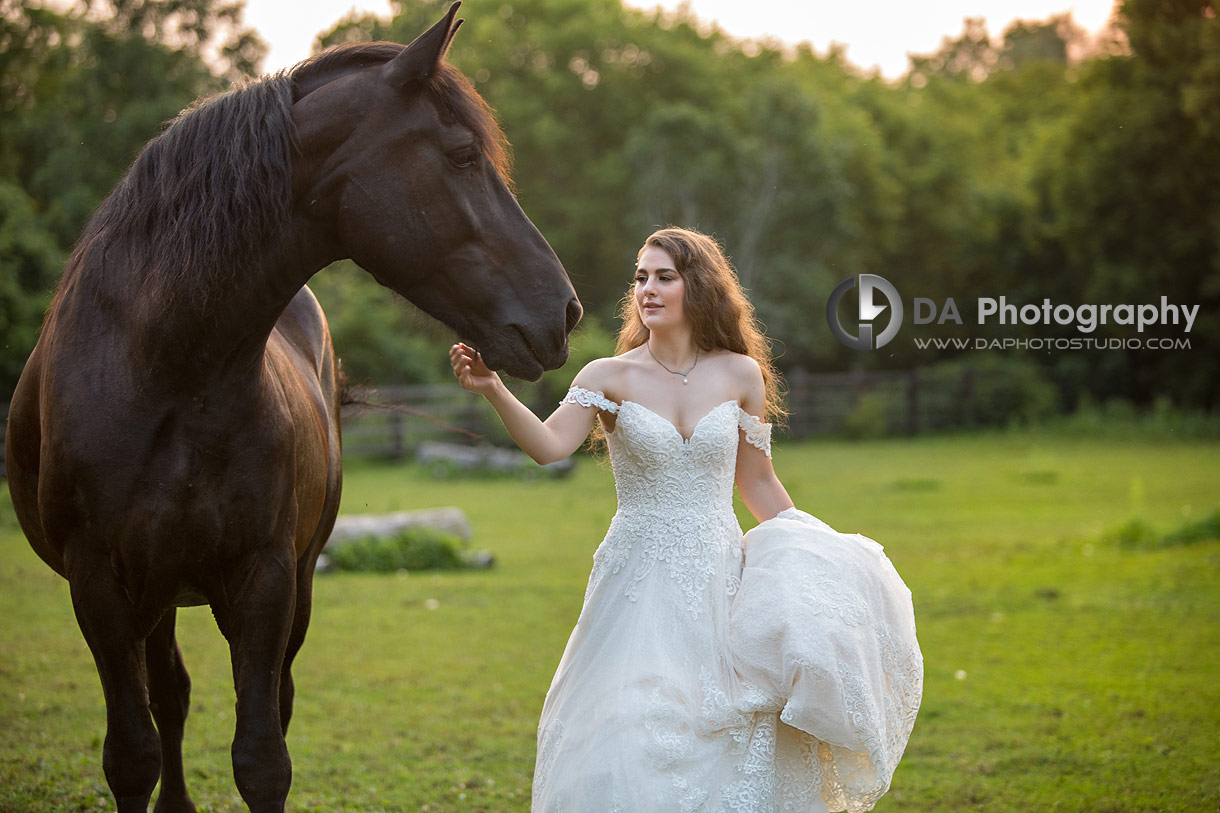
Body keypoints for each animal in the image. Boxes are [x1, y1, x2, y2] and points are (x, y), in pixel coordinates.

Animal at [3, 5, 580, 811]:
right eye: (464, 154)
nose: (566, 311)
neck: (163, 370)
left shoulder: (267, 577)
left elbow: (261, 757)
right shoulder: (98, 586)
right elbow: (131, 756)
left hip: (283, 585)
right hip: (155, 596)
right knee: (169, 696)